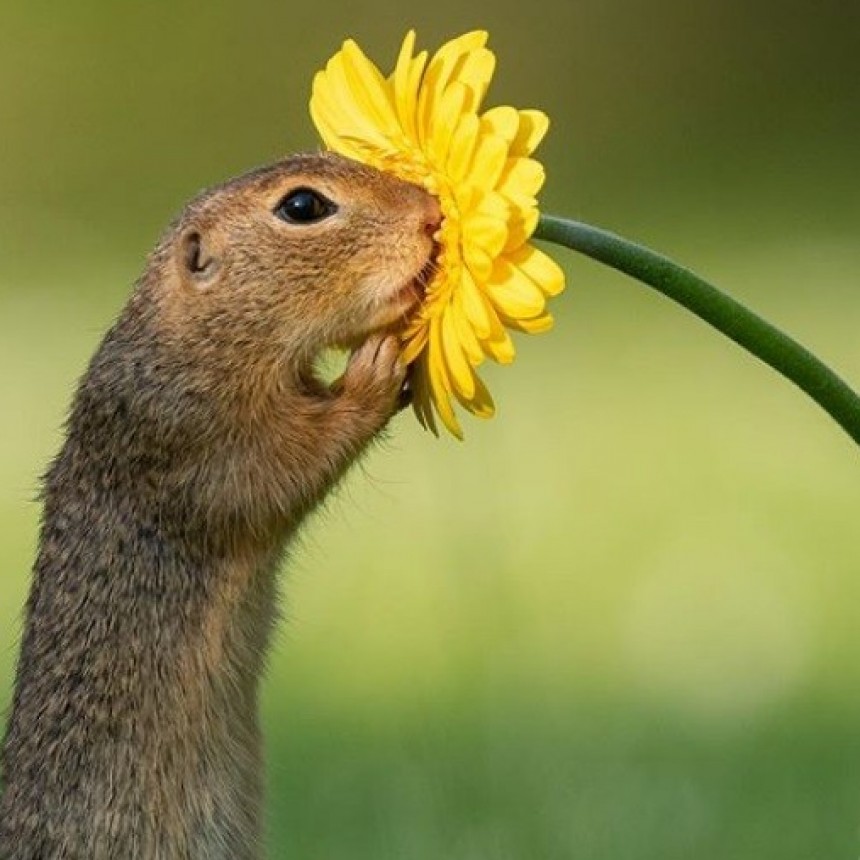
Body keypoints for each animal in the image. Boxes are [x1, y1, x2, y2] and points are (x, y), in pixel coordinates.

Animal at [0, 152, 441, 860]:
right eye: (302, 207)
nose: (431, 213)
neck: (192, 338)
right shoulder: (195, 437)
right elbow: (284, 466)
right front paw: (375, 369)